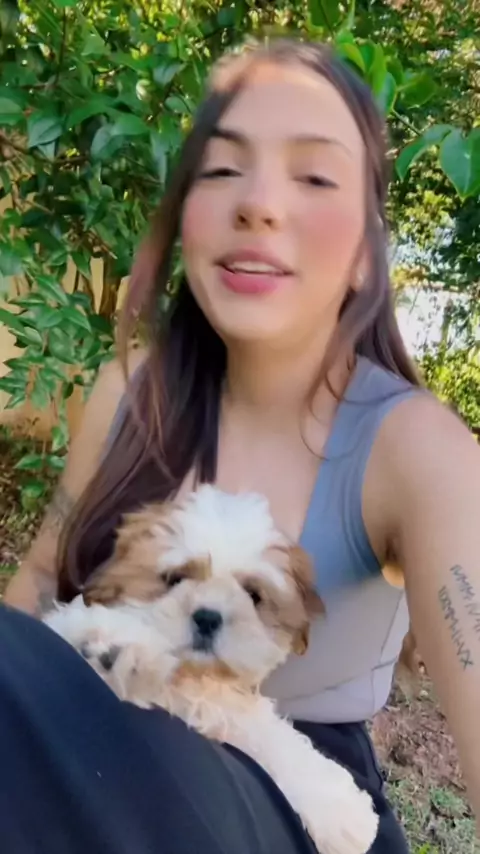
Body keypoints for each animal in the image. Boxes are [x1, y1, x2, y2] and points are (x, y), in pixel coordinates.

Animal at [44, 485, 379, 854]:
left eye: (253, 595)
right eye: (175, 578)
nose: (207, 617)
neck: (190, 679)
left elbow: (270, 738)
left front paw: (342, 811)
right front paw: (111, 644)